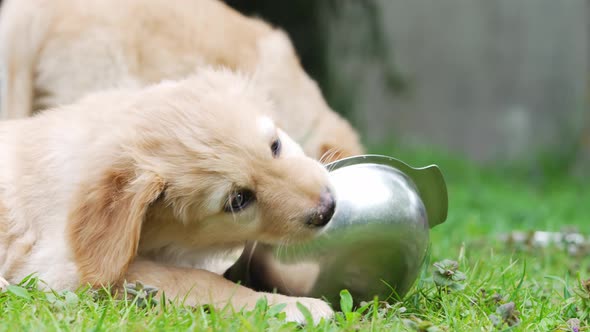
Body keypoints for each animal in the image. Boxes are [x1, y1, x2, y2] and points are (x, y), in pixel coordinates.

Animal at [0, 68, 338, 324]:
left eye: (275, 146)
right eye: (238, 200)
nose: (329, 208)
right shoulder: (58, 268)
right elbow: (194, 278)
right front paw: (294, 306)